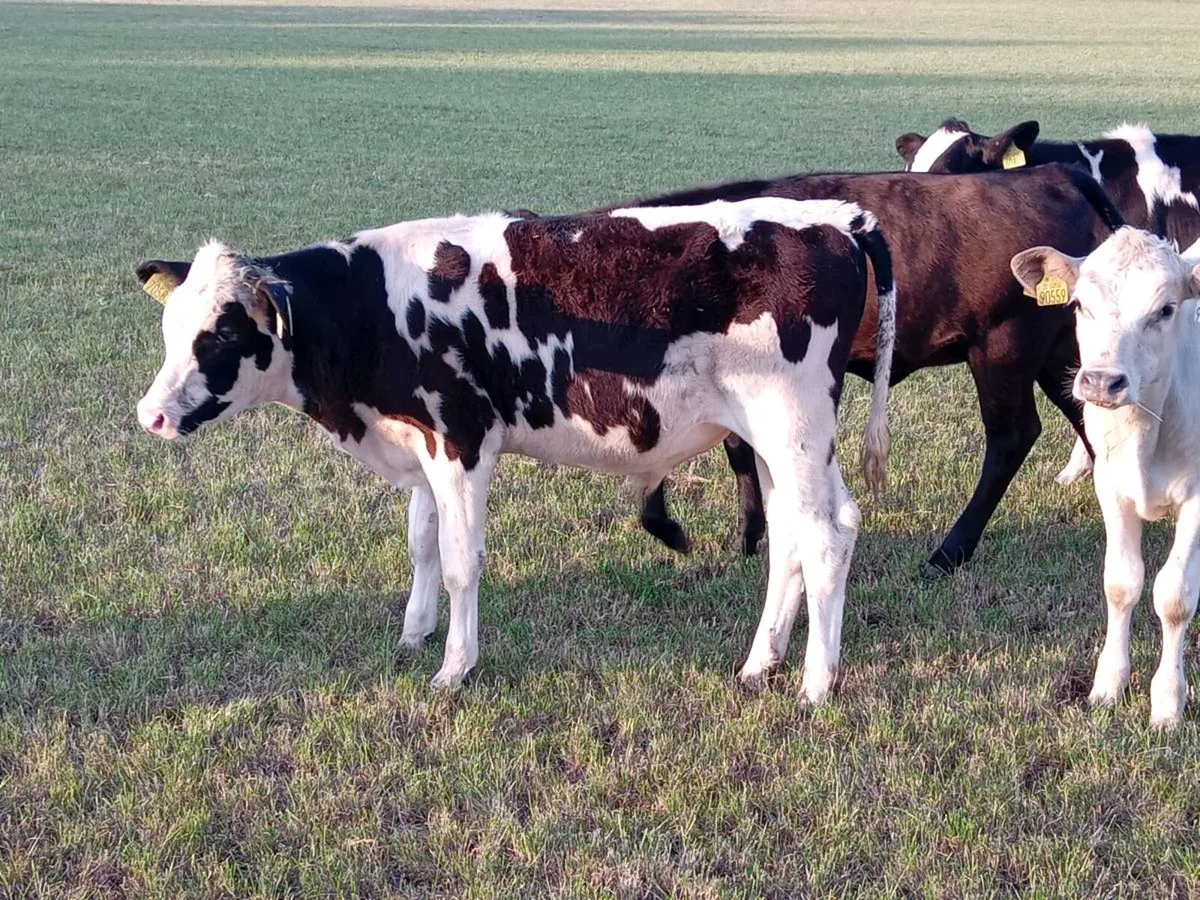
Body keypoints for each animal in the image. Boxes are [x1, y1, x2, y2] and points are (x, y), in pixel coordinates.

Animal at [133, 198, 897, 704]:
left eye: (222, 334)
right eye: (170, 329)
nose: (151, 415)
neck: (371, 308)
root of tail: (837, 217)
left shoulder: (462, 439)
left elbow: (459, 561)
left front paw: (454, 667)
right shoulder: (420, 444)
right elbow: (421, 542)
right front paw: (413, 634)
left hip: (792, 423)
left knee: (826, 535)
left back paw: (816, 682)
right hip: (780, 442)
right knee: (798, 533)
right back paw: (761, 661)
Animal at [622, 165, 1124, 577]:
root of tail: (1049, 174)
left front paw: (672, 526)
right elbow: (737, 450)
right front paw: (747, 536)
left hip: (1004, 348)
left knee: (1011, 437)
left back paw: (948, 553)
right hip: (1061, 351)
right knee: (1091, 422)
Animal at [1012, 228, 1200, 728]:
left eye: (1166, 309)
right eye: (1079, 304)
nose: (1100, 381)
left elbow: (1174, 595)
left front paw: (1168, 700)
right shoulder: (1112, 489)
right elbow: (1121, 583)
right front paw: (1109, 683)